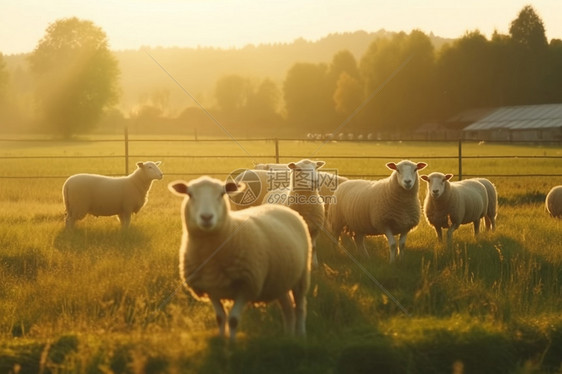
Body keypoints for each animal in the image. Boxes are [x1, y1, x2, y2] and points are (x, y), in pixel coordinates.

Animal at [168, 175, 312, 342]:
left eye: (222, 194)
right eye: (190, 195)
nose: (206, 217)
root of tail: (283, 208)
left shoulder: (246, 285)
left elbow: (233, 320)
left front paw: (231, 343)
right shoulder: (211, 288)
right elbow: (220, 318)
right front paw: (221, 340)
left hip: (301, 276)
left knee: (300, 307)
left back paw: (301, 335)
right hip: (280, 278)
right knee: (288, 308)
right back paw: (288, 337)